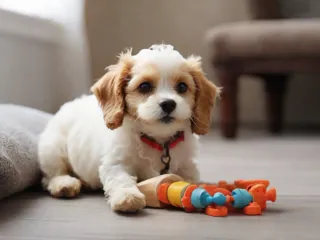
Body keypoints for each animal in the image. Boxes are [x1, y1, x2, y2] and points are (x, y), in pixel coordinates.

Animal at [37, 43, 220, 212]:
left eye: (182, 86)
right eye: (144, 86)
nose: (168, 103)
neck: (158, 140)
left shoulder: (187, 165)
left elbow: (188, 179)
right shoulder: (115, 163)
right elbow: (121, 179)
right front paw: (127, 196)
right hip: (52, 150)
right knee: (49, 177)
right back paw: (64, 184)